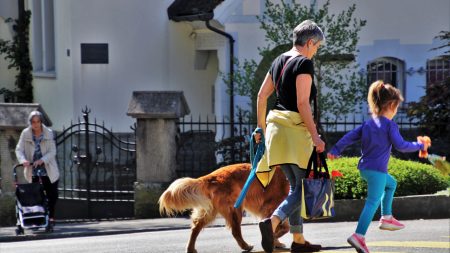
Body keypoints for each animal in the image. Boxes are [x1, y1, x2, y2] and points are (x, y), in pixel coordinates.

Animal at [160, 163, 290, 252]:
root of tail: (212, 177)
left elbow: (282, 227)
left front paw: (275, 242)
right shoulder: (271, 207)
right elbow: (281, 227)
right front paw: (273, 239)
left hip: (210, 211)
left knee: (195, 227)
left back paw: (190, 248)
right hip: (235, 209)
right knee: (235, 231)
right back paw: (246, 246)